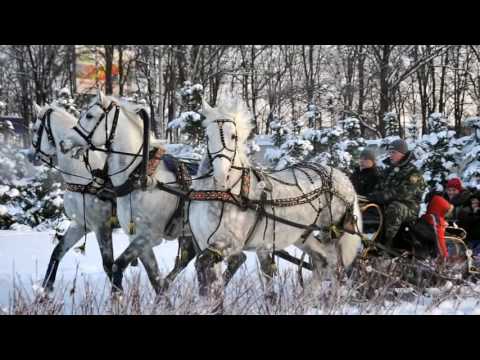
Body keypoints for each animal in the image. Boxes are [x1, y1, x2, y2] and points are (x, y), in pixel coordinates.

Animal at [189, 99, 362, 306]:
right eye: (207, 136)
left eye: (233, 136)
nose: (221, 176)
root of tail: (343, 177)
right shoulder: (203, 242)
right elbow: (208, 280)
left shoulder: (230, 243)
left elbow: (209, 270)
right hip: (302, 235)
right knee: (322, 261)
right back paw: (302, 300)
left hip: (332, 231)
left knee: (337, 267)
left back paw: (332, 300)